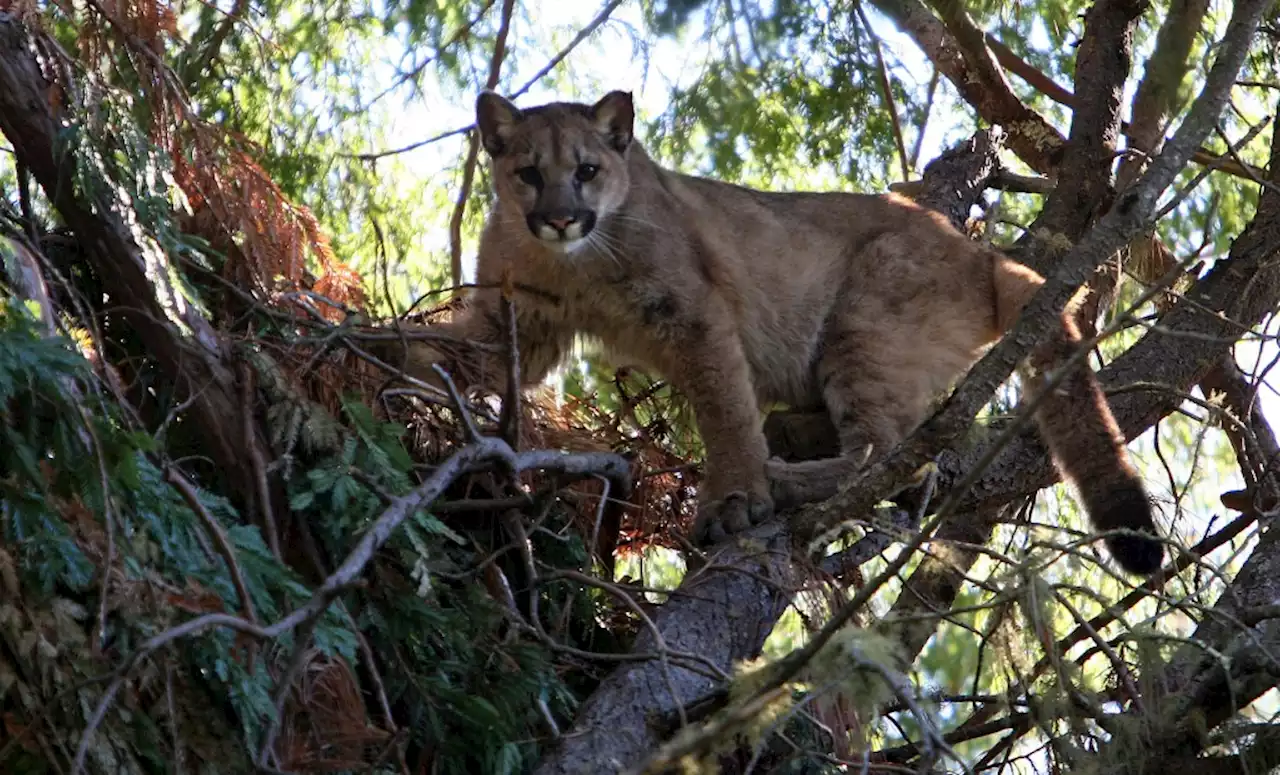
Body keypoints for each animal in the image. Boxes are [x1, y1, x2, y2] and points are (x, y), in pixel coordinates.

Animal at [376, 89, 1162, 573]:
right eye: (529, 174)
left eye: (588, 170)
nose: (563, 217)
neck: (576, 263)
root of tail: (982, 253)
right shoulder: (516, 322)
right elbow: (447, 350)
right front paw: (376, 345)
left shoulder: (693, 314)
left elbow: (723, 410)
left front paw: (733, 501)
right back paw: (787, 440)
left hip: (862, 323)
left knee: (892, 455)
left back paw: (782, 480)